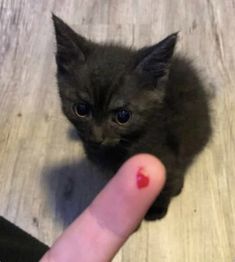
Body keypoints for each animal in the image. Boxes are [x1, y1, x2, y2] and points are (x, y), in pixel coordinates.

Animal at [52, 13, 212, 219]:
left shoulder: (168, 160)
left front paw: (157, 210)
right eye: (81, 109)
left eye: (123, 116)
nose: (97, 137)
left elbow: (168, 184)